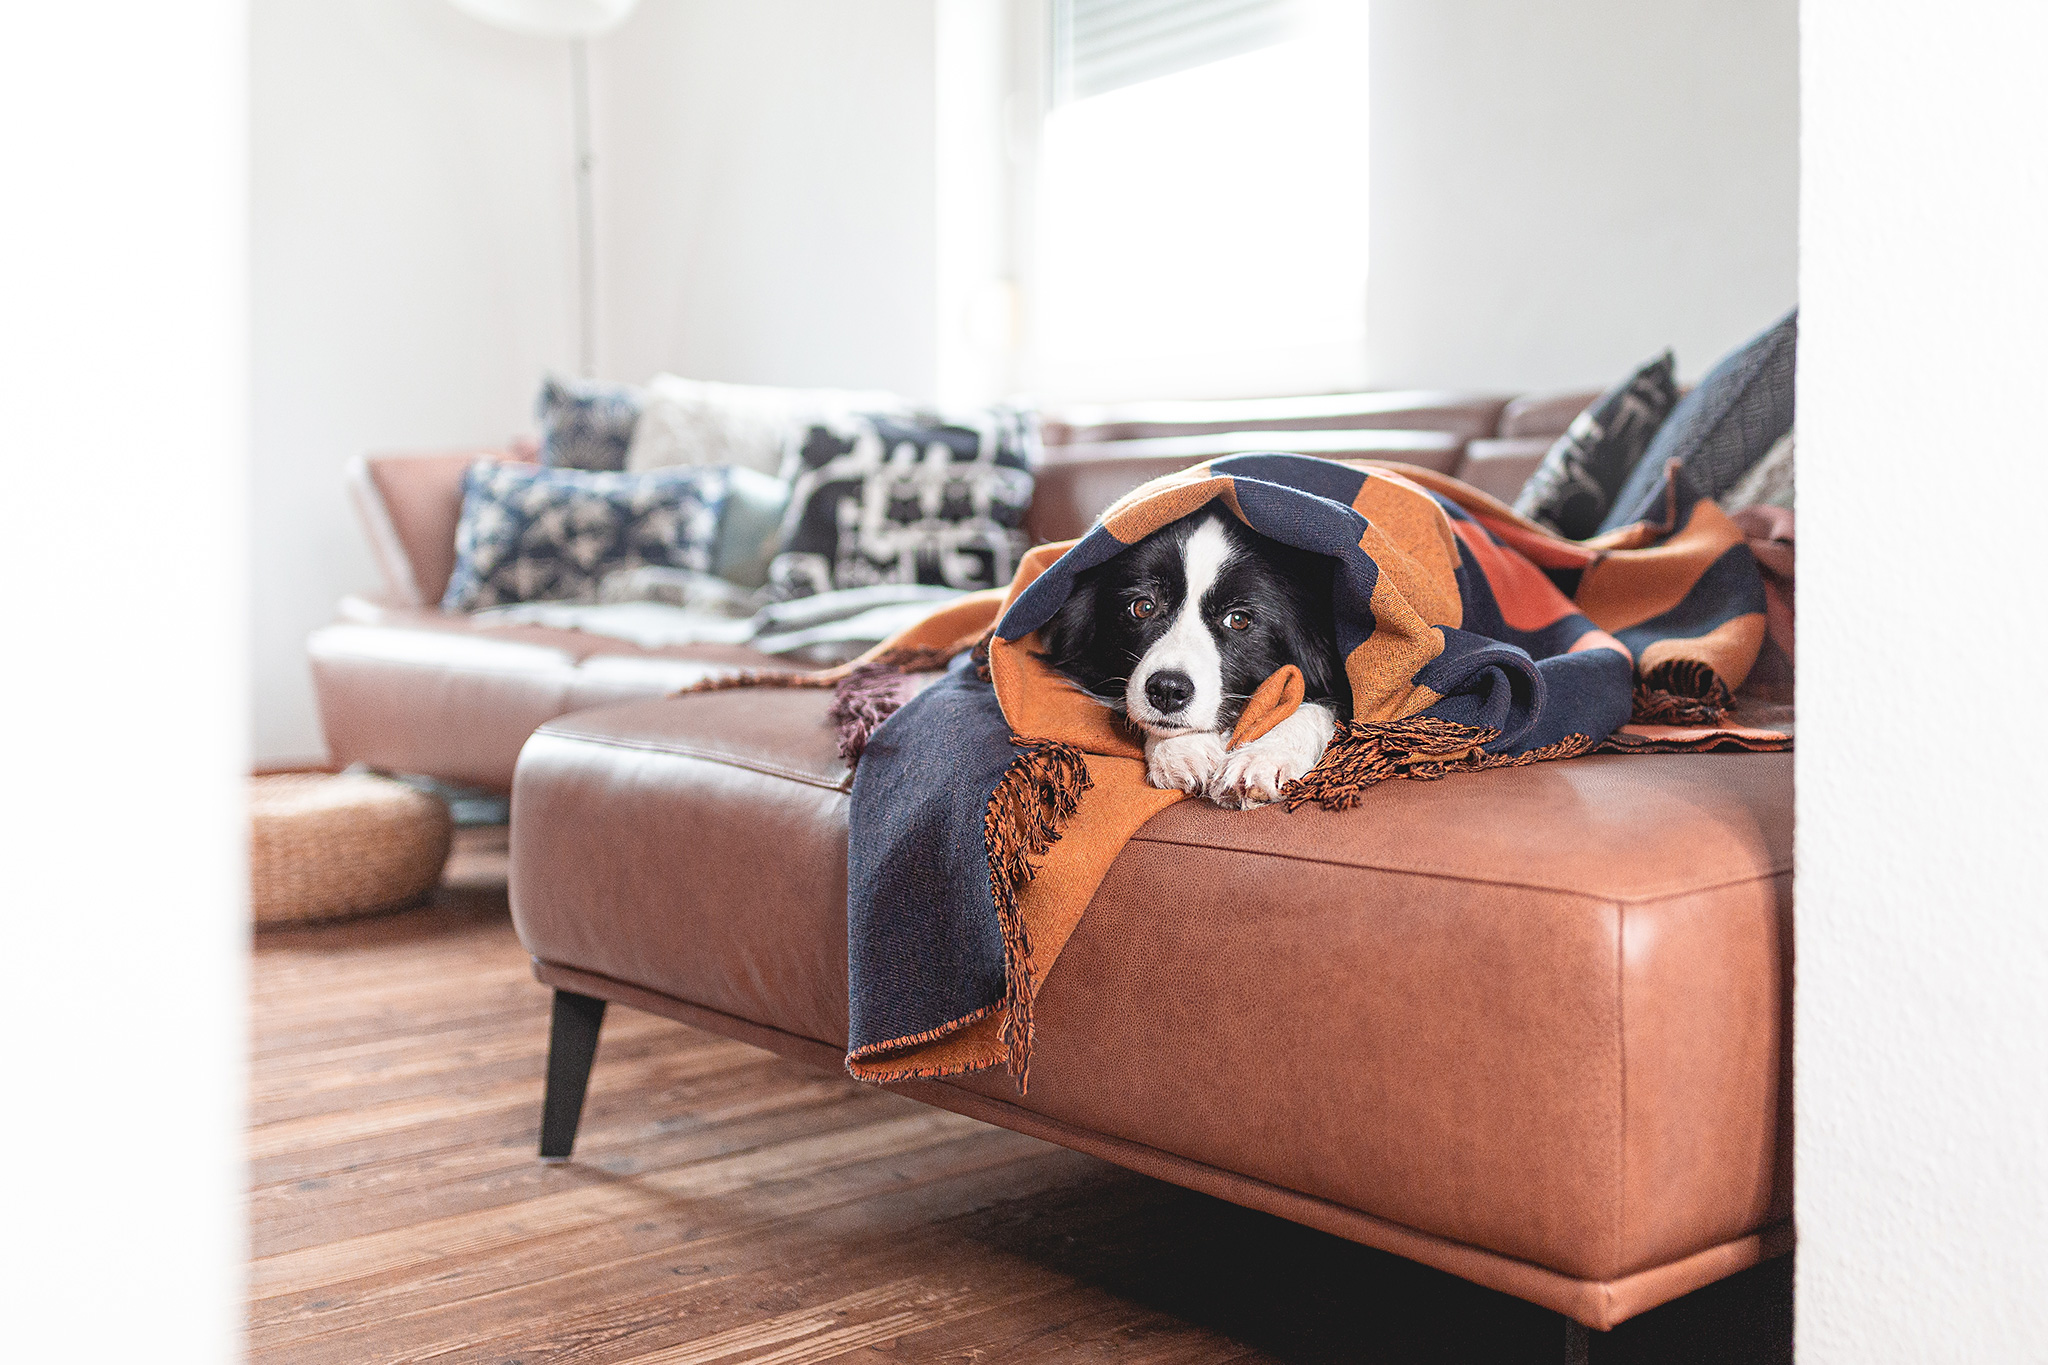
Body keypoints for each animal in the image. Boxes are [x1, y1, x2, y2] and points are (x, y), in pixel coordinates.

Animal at [1040, 511, 1343, 810]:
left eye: (1238, 619)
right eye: (1143, 607)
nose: (1167, 689)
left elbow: (1315, 707)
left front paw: (1263, 759)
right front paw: (1183, 749)